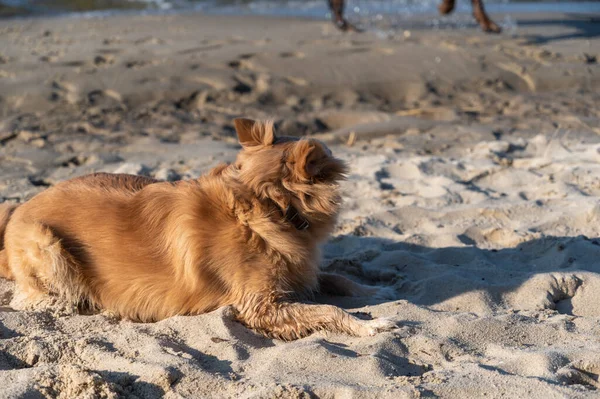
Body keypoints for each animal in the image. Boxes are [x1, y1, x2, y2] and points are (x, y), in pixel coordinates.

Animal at [0, 119, 394, 340]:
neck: (263, 204)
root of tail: (19, 208)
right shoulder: (260, 306)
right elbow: (329, 310)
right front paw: (369, 326)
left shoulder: (298, 272)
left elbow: (336, 279)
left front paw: (378, 291)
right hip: (48, 247)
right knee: (40, 299)